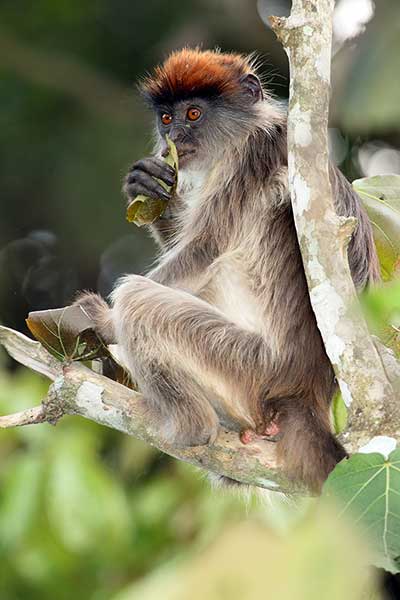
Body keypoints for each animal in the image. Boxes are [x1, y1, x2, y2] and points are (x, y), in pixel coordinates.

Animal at [76, 50, 382, 492]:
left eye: (193, 113)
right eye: (166, 118)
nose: (175, 137)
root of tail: (308, 393)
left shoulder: (251, 157)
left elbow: (202, 250)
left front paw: (104, 321)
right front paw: (147, 185)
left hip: (249, 366)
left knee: (138, 300)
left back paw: (192, 429)